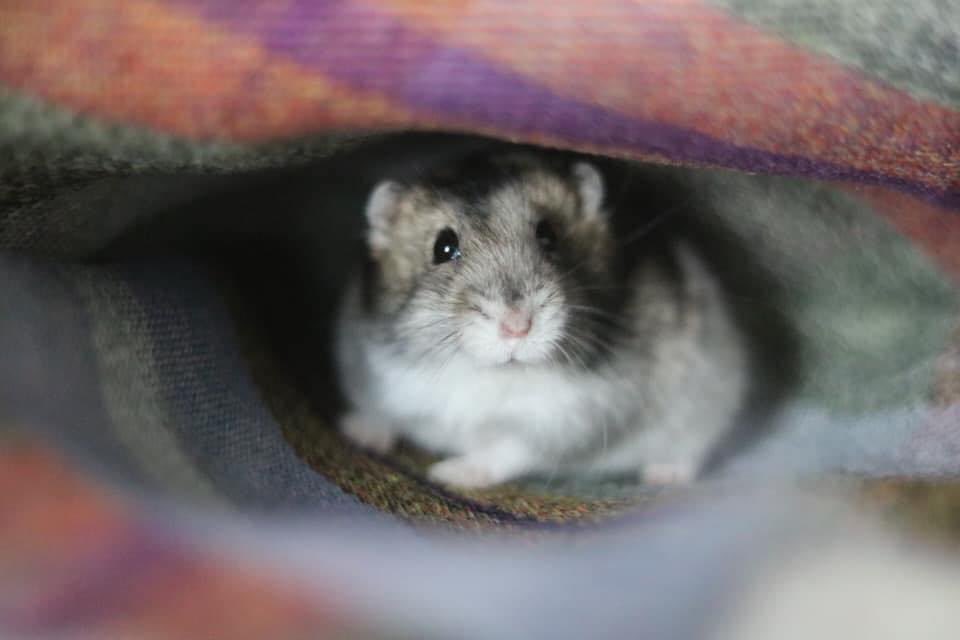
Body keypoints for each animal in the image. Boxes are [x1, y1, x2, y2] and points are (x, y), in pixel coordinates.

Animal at [334, 151, 748, 488]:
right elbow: (381, 413)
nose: (518, 327)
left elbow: (507, 450)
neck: (485, 373)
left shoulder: (568, 421)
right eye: (443, 247)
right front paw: (354, 432)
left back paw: (664, 476)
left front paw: (448, 474)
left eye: (548, 234)